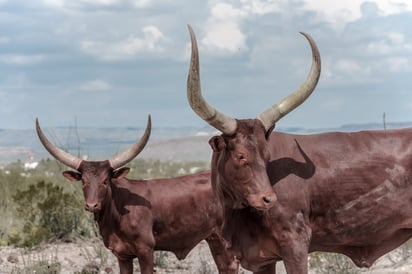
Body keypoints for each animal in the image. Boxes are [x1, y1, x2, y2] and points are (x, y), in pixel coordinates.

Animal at [37, 115, 241, 274]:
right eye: (84, 182)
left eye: (105, 181)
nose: (91, 205)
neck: (117, 211)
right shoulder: (122, 254)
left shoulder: (146, 250)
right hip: (214, 238)